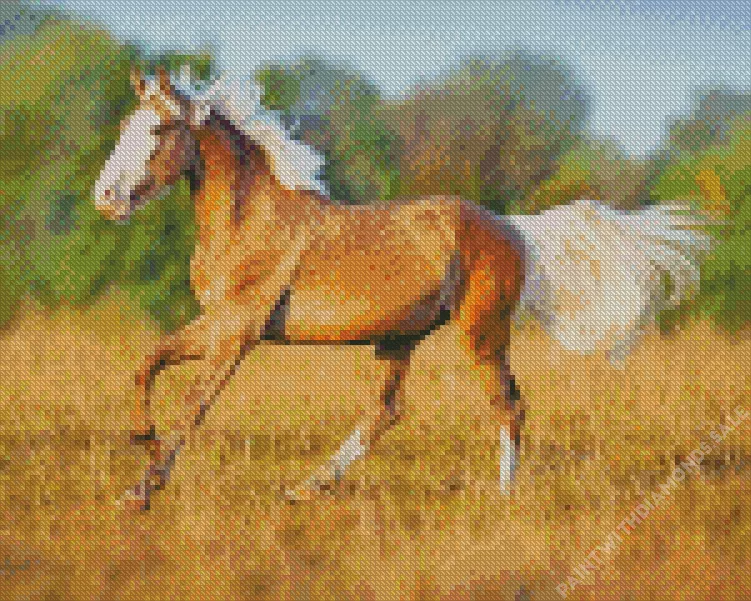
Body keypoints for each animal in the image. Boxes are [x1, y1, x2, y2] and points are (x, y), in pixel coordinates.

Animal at [94, 66, 712, 510]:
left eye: (156, 130)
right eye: (124, 128)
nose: (106, 198)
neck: (251, 222)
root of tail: (514, 228)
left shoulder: (239, 332)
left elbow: (194, 404)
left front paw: (139, 492)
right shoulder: (219, 323)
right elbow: (147, 363)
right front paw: (141, 437)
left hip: (480, 333)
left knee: (507, 404)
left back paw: (502, 498)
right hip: (399, 339)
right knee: (387, 411)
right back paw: (306, 487)